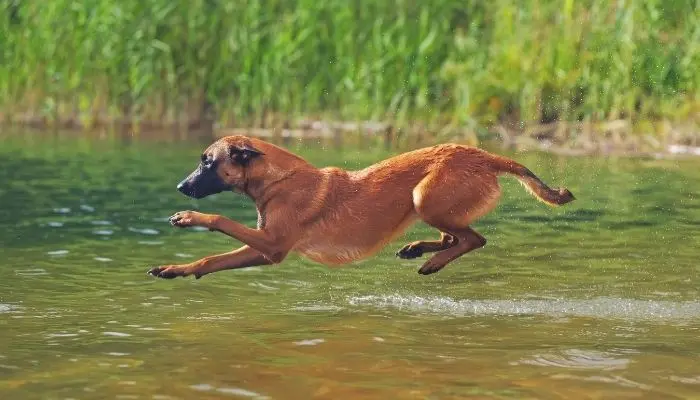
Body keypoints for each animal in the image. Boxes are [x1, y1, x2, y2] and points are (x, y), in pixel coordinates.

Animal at [148, 134, 576, 278]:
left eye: (207, 162)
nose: (181, 187)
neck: (279, 180)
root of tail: (487, 156)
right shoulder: (266, 250)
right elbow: (211, 260)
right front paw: (175, 269)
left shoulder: (273, 244)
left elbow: (219, 217)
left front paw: (188, 218)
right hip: (430, 204)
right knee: (455, 237)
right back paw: (417, 249)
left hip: (425, 198)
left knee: (472, 240)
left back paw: (431, 262)